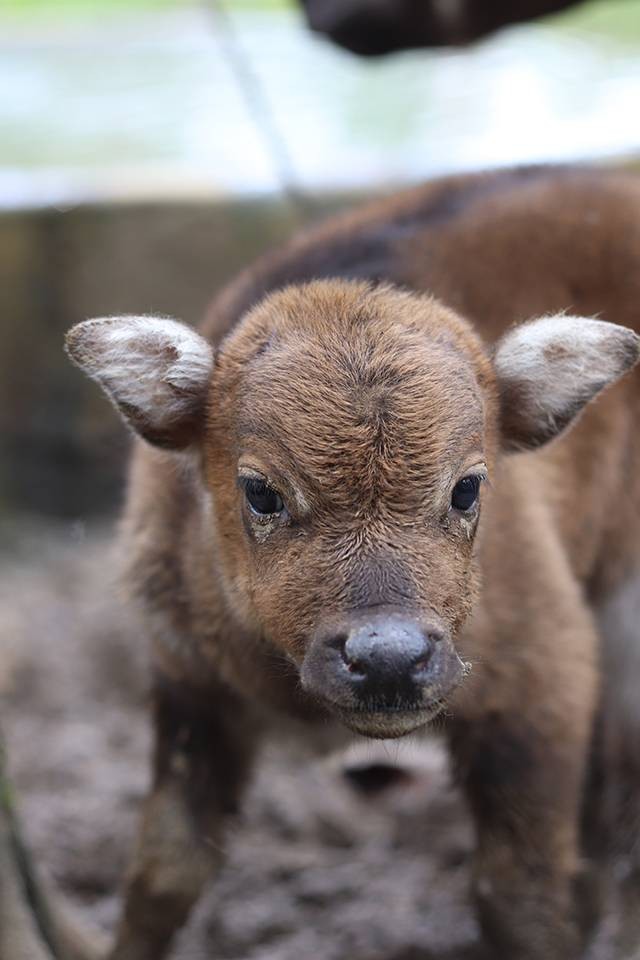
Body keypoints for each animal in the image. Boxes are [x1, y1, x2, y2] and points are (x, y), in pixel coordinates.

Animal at [66, 167, 640, 960]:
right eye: (260, 490)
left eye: (468, 486)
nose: (390, 659)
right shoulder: (189, 684)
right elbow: (164, 872)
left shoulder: (544, 686)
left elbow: (518, 896)